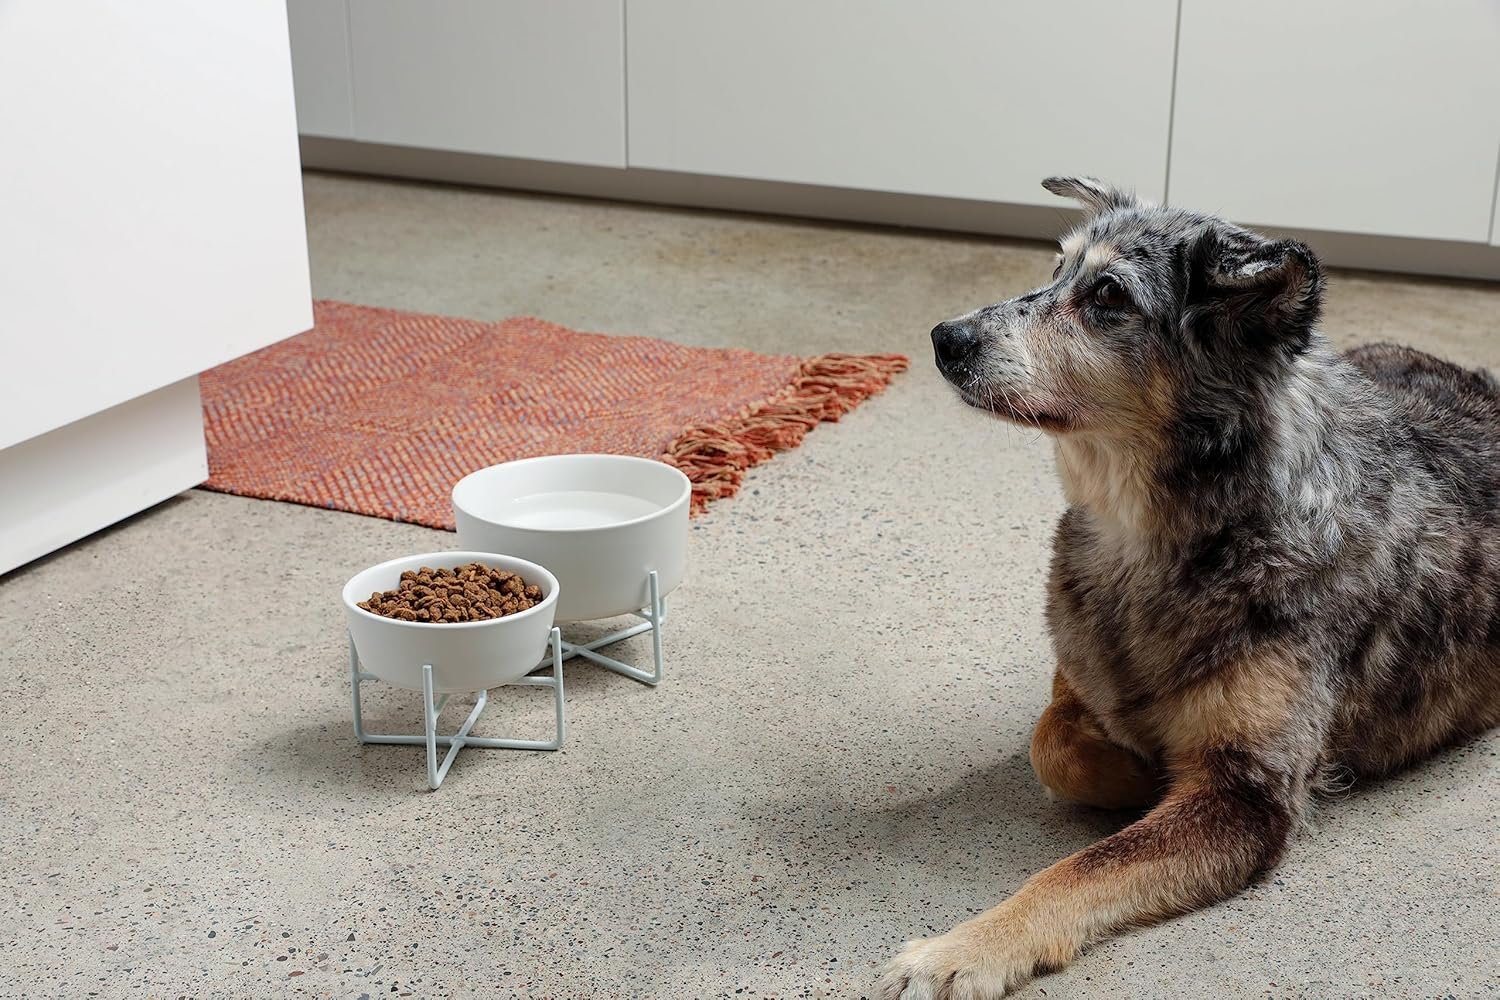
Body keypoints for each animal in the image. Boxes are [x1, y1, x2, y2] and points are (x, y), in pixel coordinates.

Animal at [878, 176, 1500, 999]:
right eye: (1055, 270)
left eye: (1108, 296)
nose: (945, 338)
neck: (1158, 540)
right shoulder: (1076, 677)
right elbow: (1053, 744)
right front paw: (1136, 768)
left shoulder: (1247, 795)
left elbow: (1080, 868)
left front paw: (960, 951)